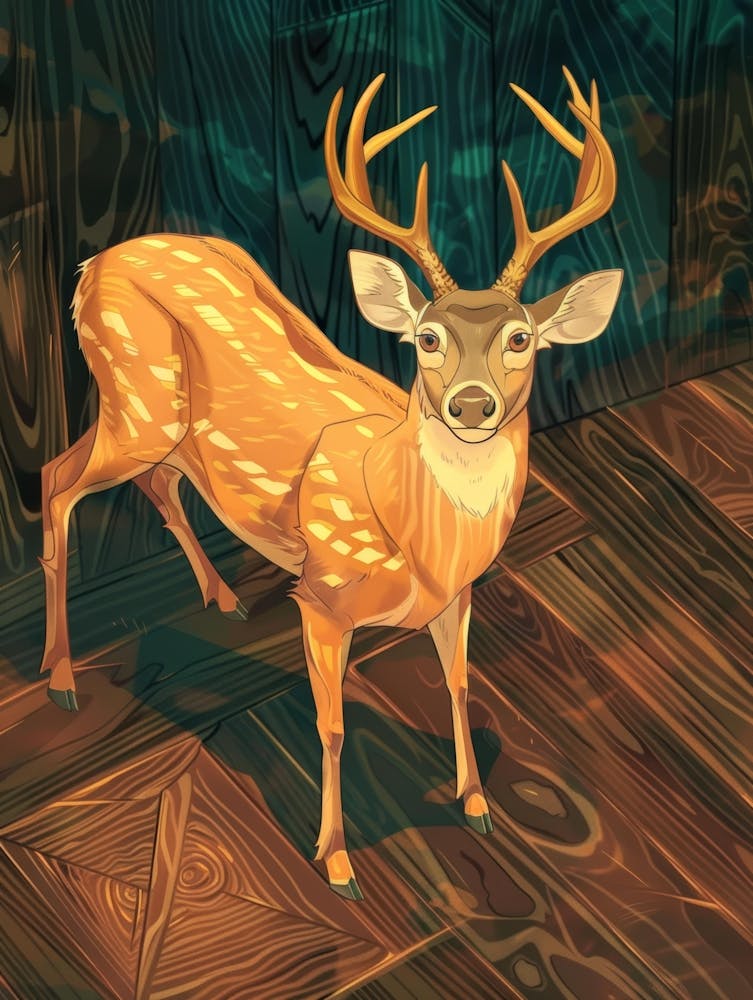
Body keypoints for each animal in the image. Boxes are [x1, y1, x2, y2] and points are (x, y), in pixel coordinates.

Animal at [38, 68, 620, 900]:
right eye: (427, 337)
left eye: (520, 338)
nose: (469, 405)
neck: (416, 538)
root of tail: (92, 266)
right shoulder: (322, 596)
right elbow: (334, 725)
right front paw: (338, 860)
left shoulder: (461, 594)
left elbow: (459, 684)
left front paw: (477, 805)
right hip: (133, 399)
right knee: (56, 479)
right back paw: (60, 678)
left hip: (160, 422)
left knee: (155, 483)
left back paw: (223, 598)